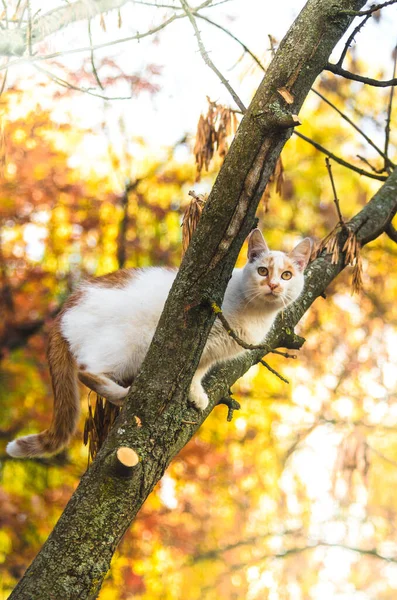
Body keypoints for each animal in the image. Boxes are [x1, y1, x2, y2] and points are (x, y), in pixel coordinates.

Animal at [5, 231, 310, 460]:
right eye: (262, 270)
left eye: (286, 275)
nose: (273, 285)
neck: (255, 313)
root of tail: (62, 312)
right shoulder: (198, 339)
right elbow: (191, 368)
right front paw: (192, 390)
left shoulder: (213, 352)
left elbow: (199, 371)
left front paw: (196, 392)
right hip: (126, 344)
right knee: (86, 371)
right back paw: (122, 394)